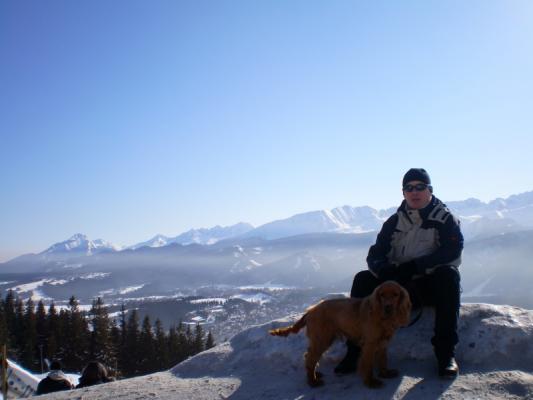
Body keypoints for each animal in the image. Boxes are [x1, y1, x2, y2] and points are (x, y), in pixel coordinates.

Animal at [269, 281, 411, 388]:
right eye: (382, 295)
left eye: (395, 294)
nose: (388, 307)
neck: (382, 317)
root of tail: (310, 311)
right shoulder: (370, 343)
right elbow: (368, 364)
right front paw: (370, 382)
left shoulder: (383, 342)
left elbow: (383, 360)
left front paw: (385, 373)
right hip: (322, 338)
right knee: (310, 358)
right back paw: (312, 381)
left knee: (308, 356)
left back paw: (315, 374)